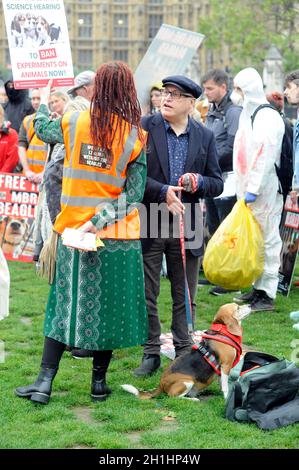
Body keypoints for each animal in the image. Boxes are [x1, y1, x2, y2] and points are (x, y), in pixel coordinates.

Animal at [122, 304, 251, 400]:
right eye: (238, 308)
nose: (250, 305)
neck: (222, 331)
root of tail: (160, 385)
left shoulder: (221, 370)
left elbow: (221, 383)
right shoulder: (226, 366)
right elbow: (225, 386)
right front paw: (226, 397)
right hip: (187, 382)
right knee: (173, 397)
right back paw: (193, 399)